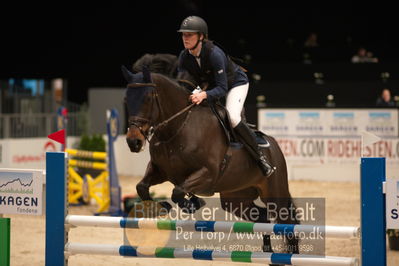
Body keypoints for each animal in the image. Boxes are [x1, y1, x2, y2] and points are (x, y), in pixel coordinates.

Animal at [123, 66, 298, 264]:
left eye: (147, 98)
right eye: (127, 99)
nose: (133, 142)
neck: (177, 128)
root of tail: (275, 145)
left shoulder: (208, 174)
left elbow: (178, 191)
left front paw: (193, 203)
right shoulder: (160, 171)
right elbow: (142, 187)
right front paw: (164, 207)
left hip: (275, 194)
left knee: (288, 225)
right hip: (236, 199)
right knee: (263, 218)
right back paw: (268, 252)